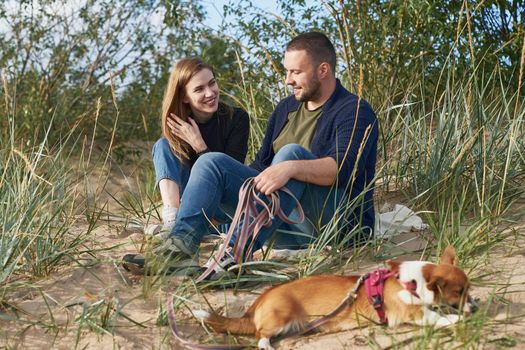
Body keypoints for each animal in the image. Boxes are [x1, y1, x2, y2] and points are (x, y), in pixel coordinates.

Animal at [194, 246, 476, 350]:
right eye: (459, 292)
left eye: (469, 289)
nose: (476, 307)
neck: (412, 281)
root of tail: (260, 300)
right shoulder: (413, 312)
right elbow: (436, 316)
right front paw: (455, 319)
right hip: (279, 317)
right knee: (259, 334)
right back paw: (266, 346)